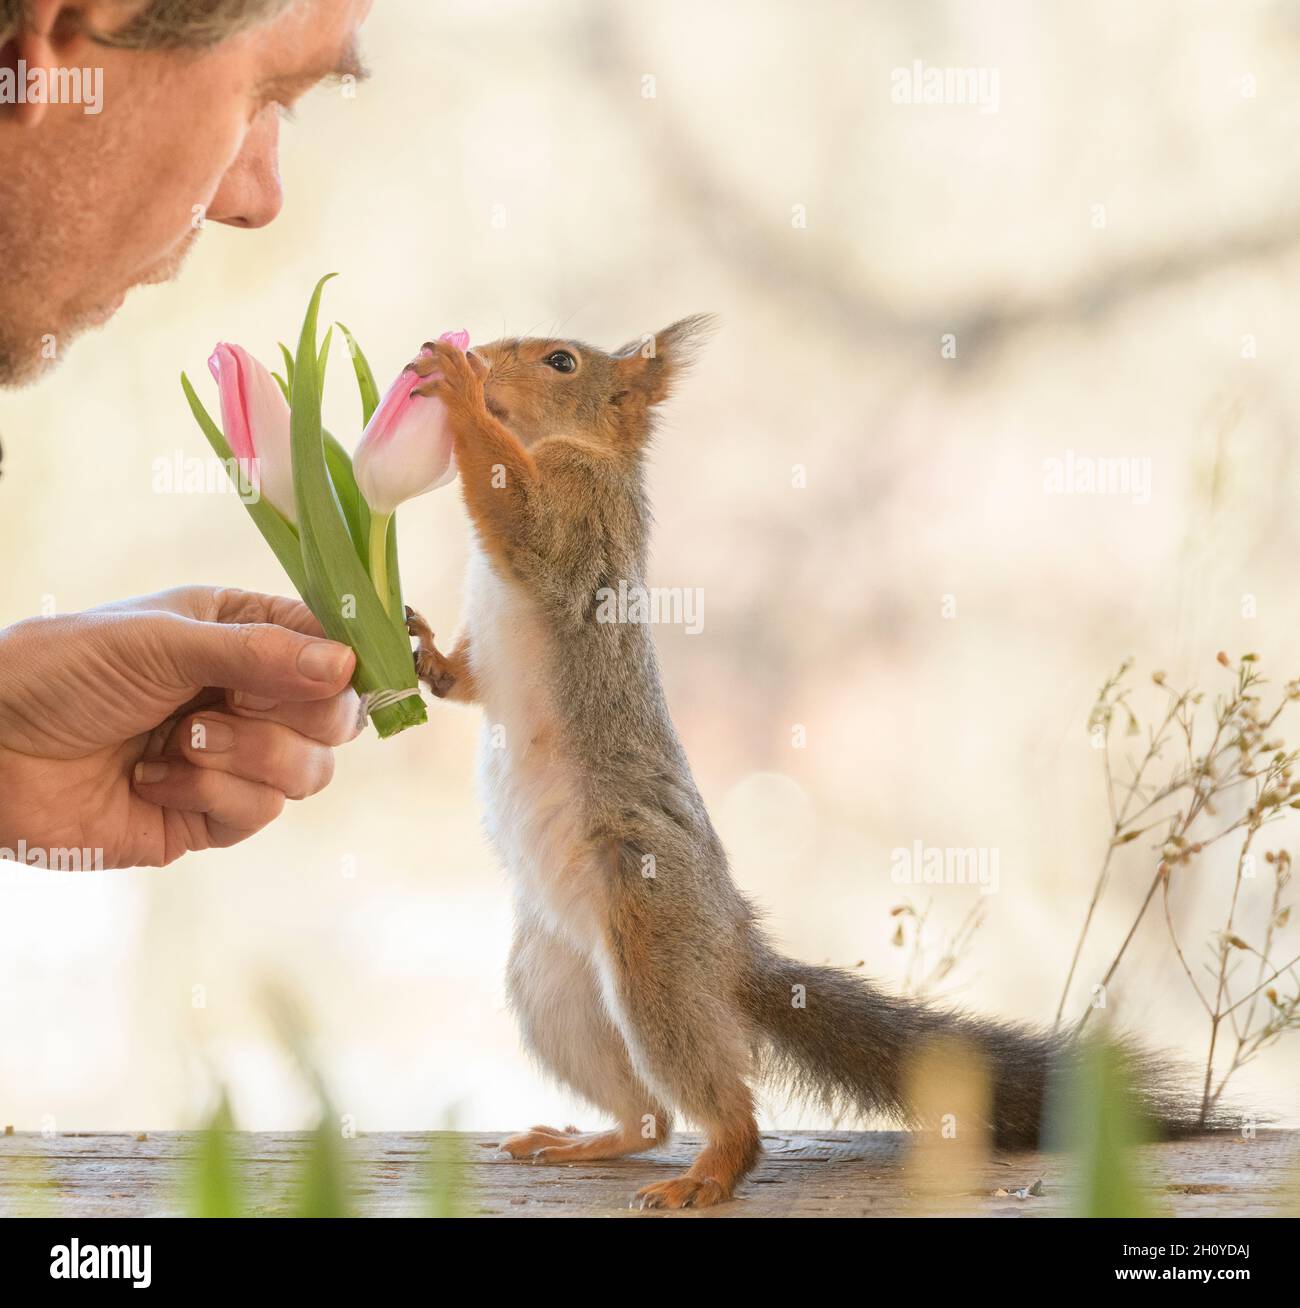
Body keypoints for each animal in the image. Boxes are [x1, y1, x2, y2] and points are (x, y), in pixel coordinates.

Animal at [402, 320, 1206, 1210]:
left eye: (560, 362)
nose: (482, 355)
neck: (576, 447)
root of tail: (730, 950)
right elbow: (469, 682)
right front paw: (424, 649)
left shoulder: (578, 521)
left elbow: (520, 520)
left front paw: (461, 394)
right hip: (554, 985)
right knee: (649, 1115)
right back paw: (595, 1142)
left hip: (650, 943)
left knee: (716, 1103)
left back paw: (709, 1173)